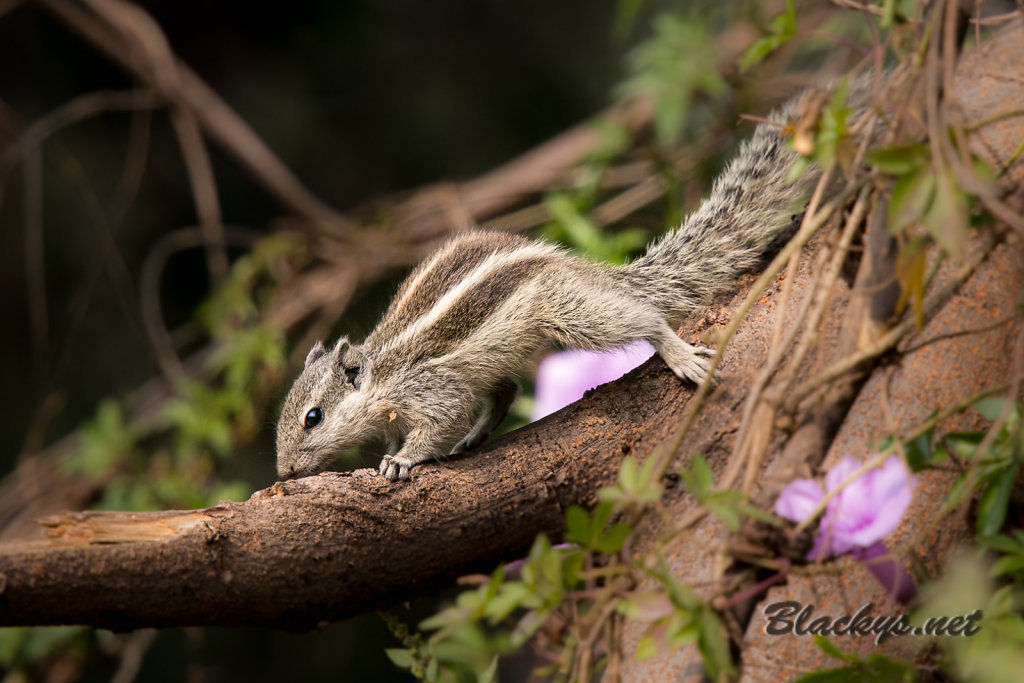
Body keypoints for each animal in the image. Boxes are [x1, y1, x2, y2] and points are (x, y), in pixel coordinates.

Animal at [278, 85, 831, 481]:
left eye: (313, 417)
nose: (283, 472)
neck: (383, 375)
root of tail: (575, 267)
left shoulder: (433, 389)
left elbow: (436, 425)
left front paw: (403, 460)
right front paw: (396, 453)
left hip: (565, 314)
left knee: (645, 319)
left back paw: (676, 353)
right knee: (506, 390)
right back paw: (475, 438)